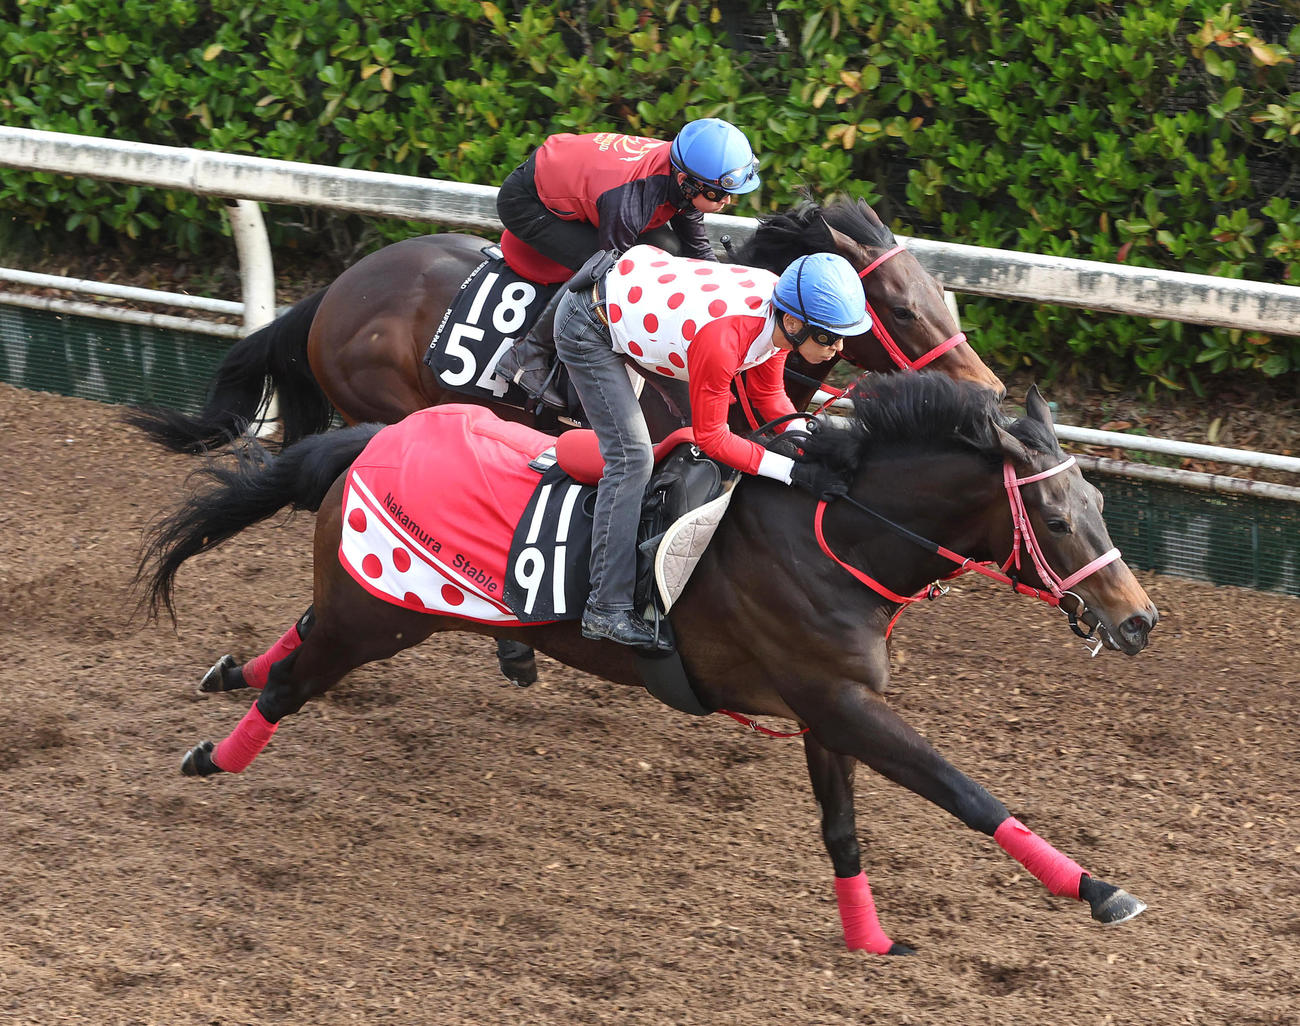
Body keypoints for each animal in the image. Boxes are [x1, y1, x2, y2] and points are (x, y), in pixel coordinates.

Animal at [138, 372, 1158, 955]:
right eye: (1056, 518)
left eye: (1100, 502)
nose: (1139, 621)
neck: (830, 532)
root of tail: (378, 436)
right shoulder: (839, 700)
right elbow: (963, 791)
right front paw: (1099, 890)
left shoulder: (828, 706)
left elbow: (842, 829)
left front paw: (869, 939)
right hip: (381, 617)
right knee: (294, 682)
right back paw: (213, 755)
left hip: (383, 606)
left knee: (301, 634)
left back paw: (227, 676)